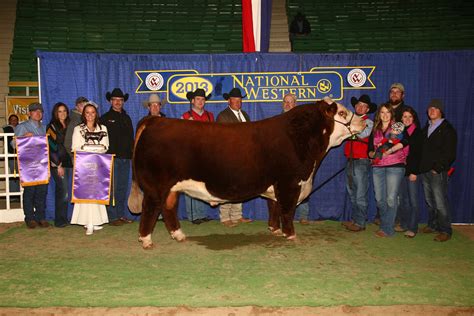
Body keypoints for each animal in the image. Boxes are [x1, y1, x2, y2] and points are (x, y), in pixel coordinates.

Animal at [128, 98, 364, 249]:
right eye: (342, 113)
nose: (363, 120)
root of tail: (155, 120)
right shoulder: (289, 183)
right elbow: (287, 210)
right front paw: (290, 235)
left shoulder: (276, 185)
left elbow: (274, 207)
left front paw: (274, 230)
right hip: (156, 186)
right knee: (151, 208)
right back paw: (146, 240)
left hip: (172, 188)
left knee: (168, 208)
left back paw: (179, 235)